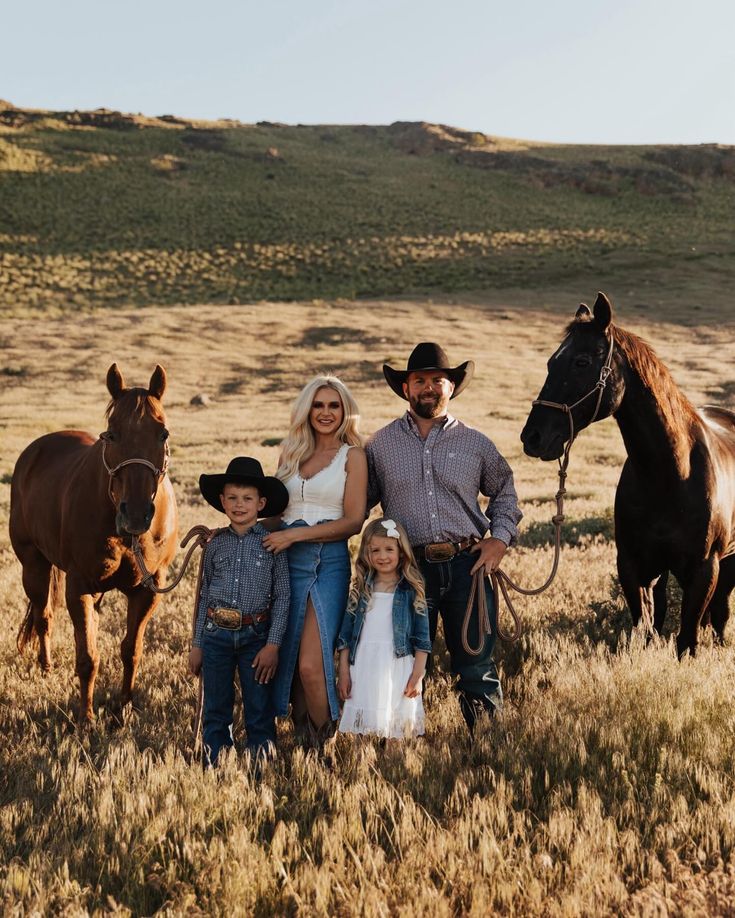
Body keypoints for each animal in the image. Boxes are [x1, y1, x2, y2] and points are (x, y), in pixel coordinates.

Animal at [9, 362, 178, 724]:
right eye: (111, 434)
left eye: (163, 433)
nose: (136, 513)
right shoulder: (80, 587)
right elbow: (88, 656)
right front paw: (86, 718)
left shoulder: (147, 590)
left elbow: (131, 650)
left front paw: (124, 706)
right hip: (34, 565)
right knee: (43, 616)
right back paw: (45, 668)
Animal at [520, 292, 735, 656]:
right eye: (551, 363)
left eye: (581, 362)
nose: (532, 437)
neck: (670, 475)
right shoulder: (634, 567)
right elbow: (646, 630)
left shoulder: (704, 570)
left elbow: (687, 641)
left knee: (720, 614)